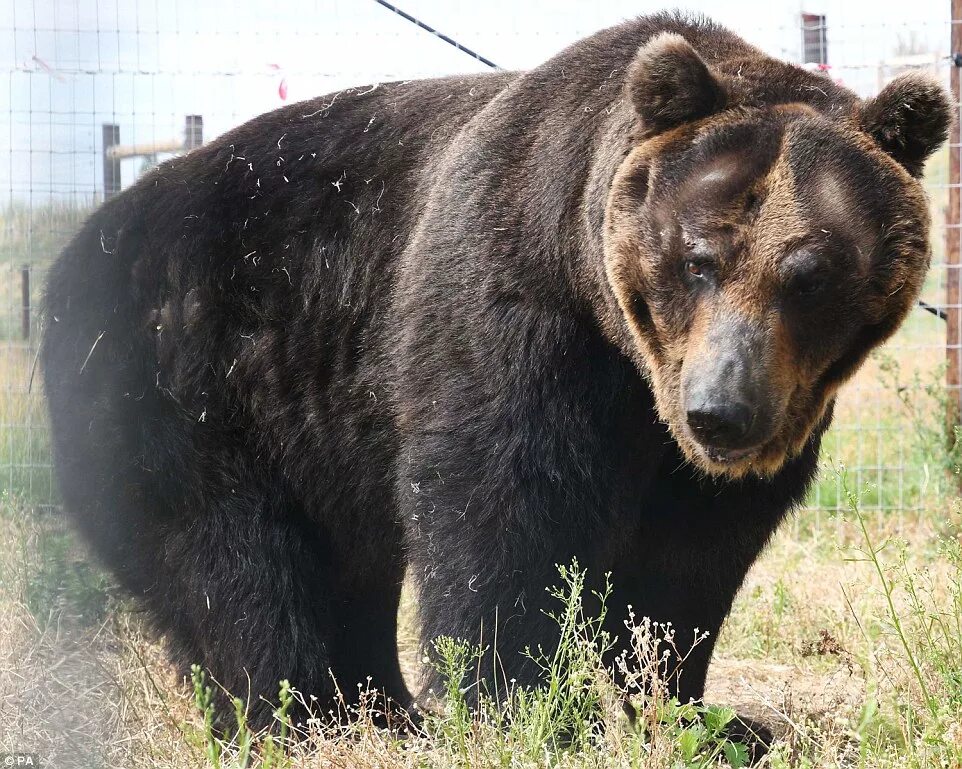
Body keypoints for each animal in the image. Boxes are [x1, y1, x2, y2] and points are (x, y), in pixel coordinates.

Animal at [41, 10, 948, 756]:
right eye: (699, 257)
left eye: (811, 274)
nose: (721, 412)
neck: (625, 349)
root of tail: (75, 251)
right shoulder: (516, 310)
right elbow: (502, 507)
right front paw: (533, 710)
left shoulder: (713, 434)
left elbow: (686, 564)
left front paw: (703, 713)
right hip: (184, 379)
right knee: (234, 565)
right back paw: (298, 719)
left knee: (344, 562)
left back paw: (381, 710)